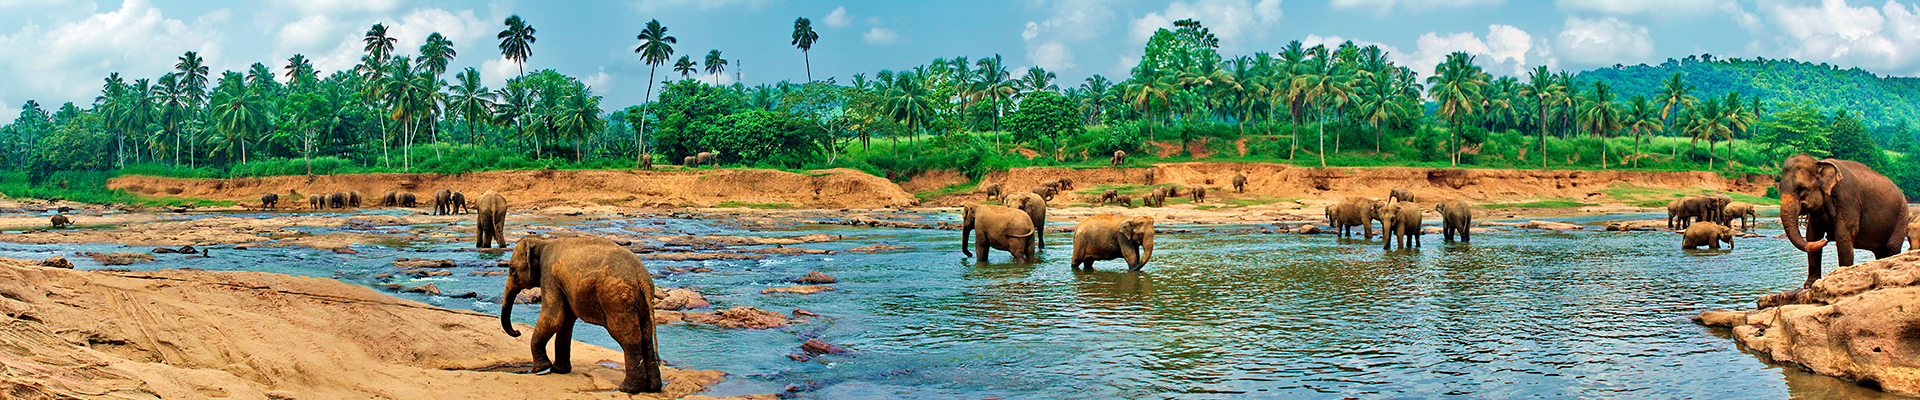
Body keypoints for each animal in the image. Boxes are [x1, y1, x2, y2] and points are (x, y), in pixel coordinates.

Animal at [499, 234, 664, 394]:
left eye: (511, 268)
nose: (517, 332)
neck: (542, 241)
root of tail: (642, 276)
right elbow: (566, 321)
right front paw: (558, 370)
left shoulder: (549, 275)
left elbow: (553, 317)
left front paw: (539, 369)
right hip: (642, 303)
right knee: (646, 337)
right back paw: (652, 388)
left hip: (618, 299)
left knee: (627, 336)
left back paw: (628, 388)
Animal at [1774, 152, 1912, 288]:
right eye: (1779, 188)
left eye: (1801, 188)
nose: (1826, 238)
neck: (1819, 163)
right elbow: (1812, 235)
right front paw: (1809, 285)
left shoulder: (1848, 198)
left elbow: (1843, 234)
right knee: (1880, 252)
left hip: (1902, 216)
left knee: (1891, 247)